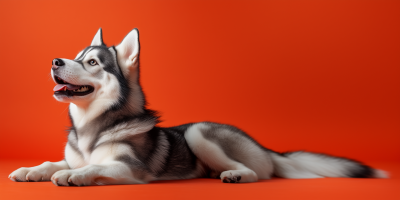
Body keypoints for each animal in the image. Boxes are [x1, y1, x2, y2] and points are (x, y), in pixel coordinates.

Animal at [8, 28, 388, 186]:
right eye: (75, 56)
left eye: (91, 62)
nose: (56, 61)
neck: (93, 126)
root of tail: (265, 146)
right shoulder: (75, 154)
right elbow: (56, 162)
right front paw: (32, 170)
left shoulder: (130, 170)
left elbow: (90, 167)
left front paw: (72, 176)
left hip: (199, 132)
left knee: (254, 173)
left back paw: (236, 175)